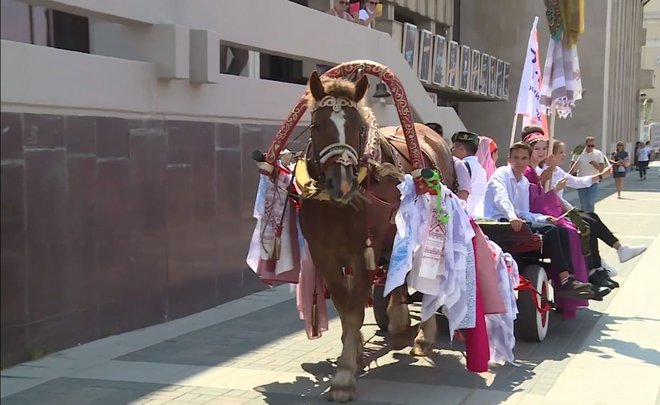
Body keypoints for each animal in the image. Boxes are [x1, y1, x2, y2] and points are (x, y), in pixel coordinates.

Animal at [298, 70, 454, 400]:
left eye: (358, 128)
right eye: (318, 126)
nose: (342, 184)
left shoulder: (362, 253)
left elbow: (355, 309)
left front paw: (344, 376)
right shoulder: (324, 254)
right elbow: (344, 306)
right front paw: (355, 354)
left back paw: (422, 337)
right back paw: (399, 323)